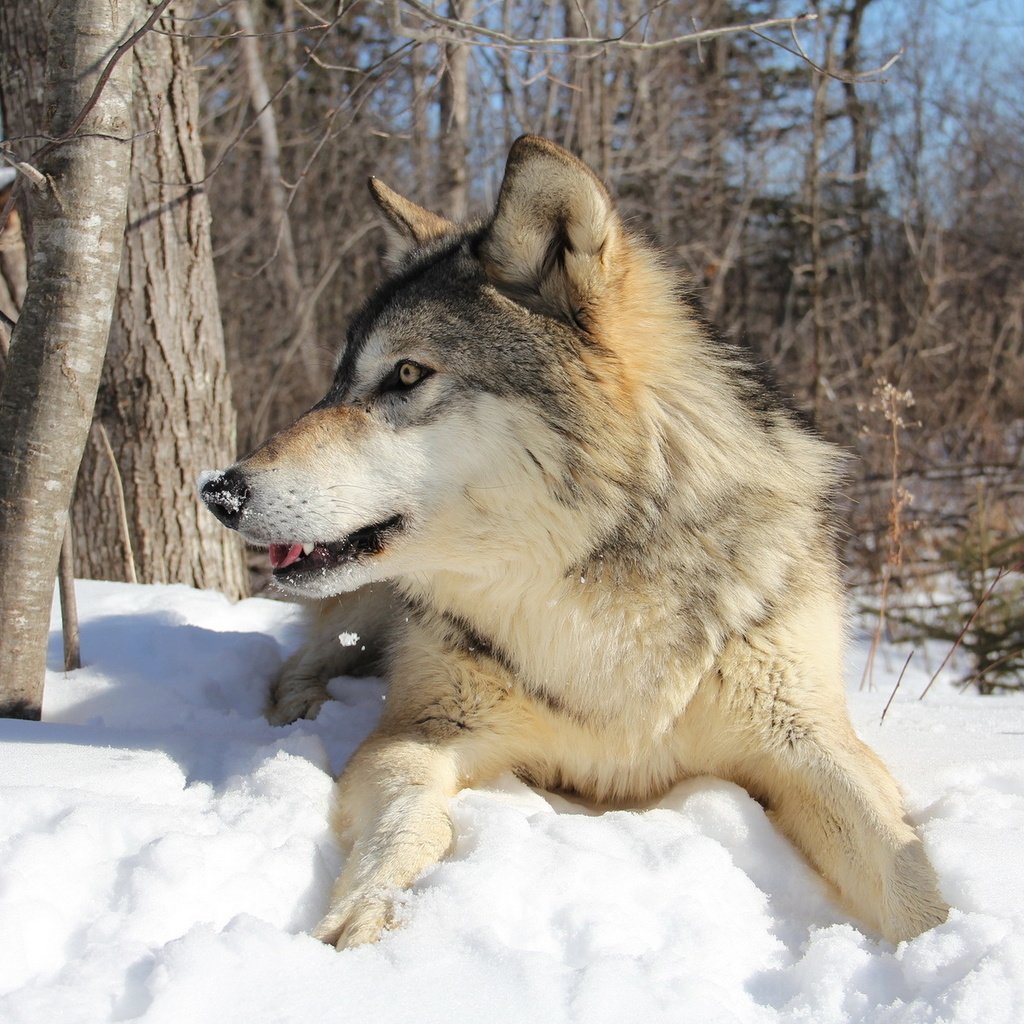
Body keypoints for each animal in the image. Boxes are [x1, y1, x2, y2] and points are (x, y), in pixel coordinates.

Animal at [201, 138, 950, 950]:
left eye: (405, 373)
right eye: (338, 381)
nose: (219, 492)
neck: (587, 586)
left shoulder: (812, 741)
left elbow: (906, 871)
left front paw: (945, 952)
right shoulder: (419, 730)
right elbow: (408, 824)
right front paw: (363, 913)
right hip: (363, 609)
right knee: (299, 664)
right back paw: (301, 710)